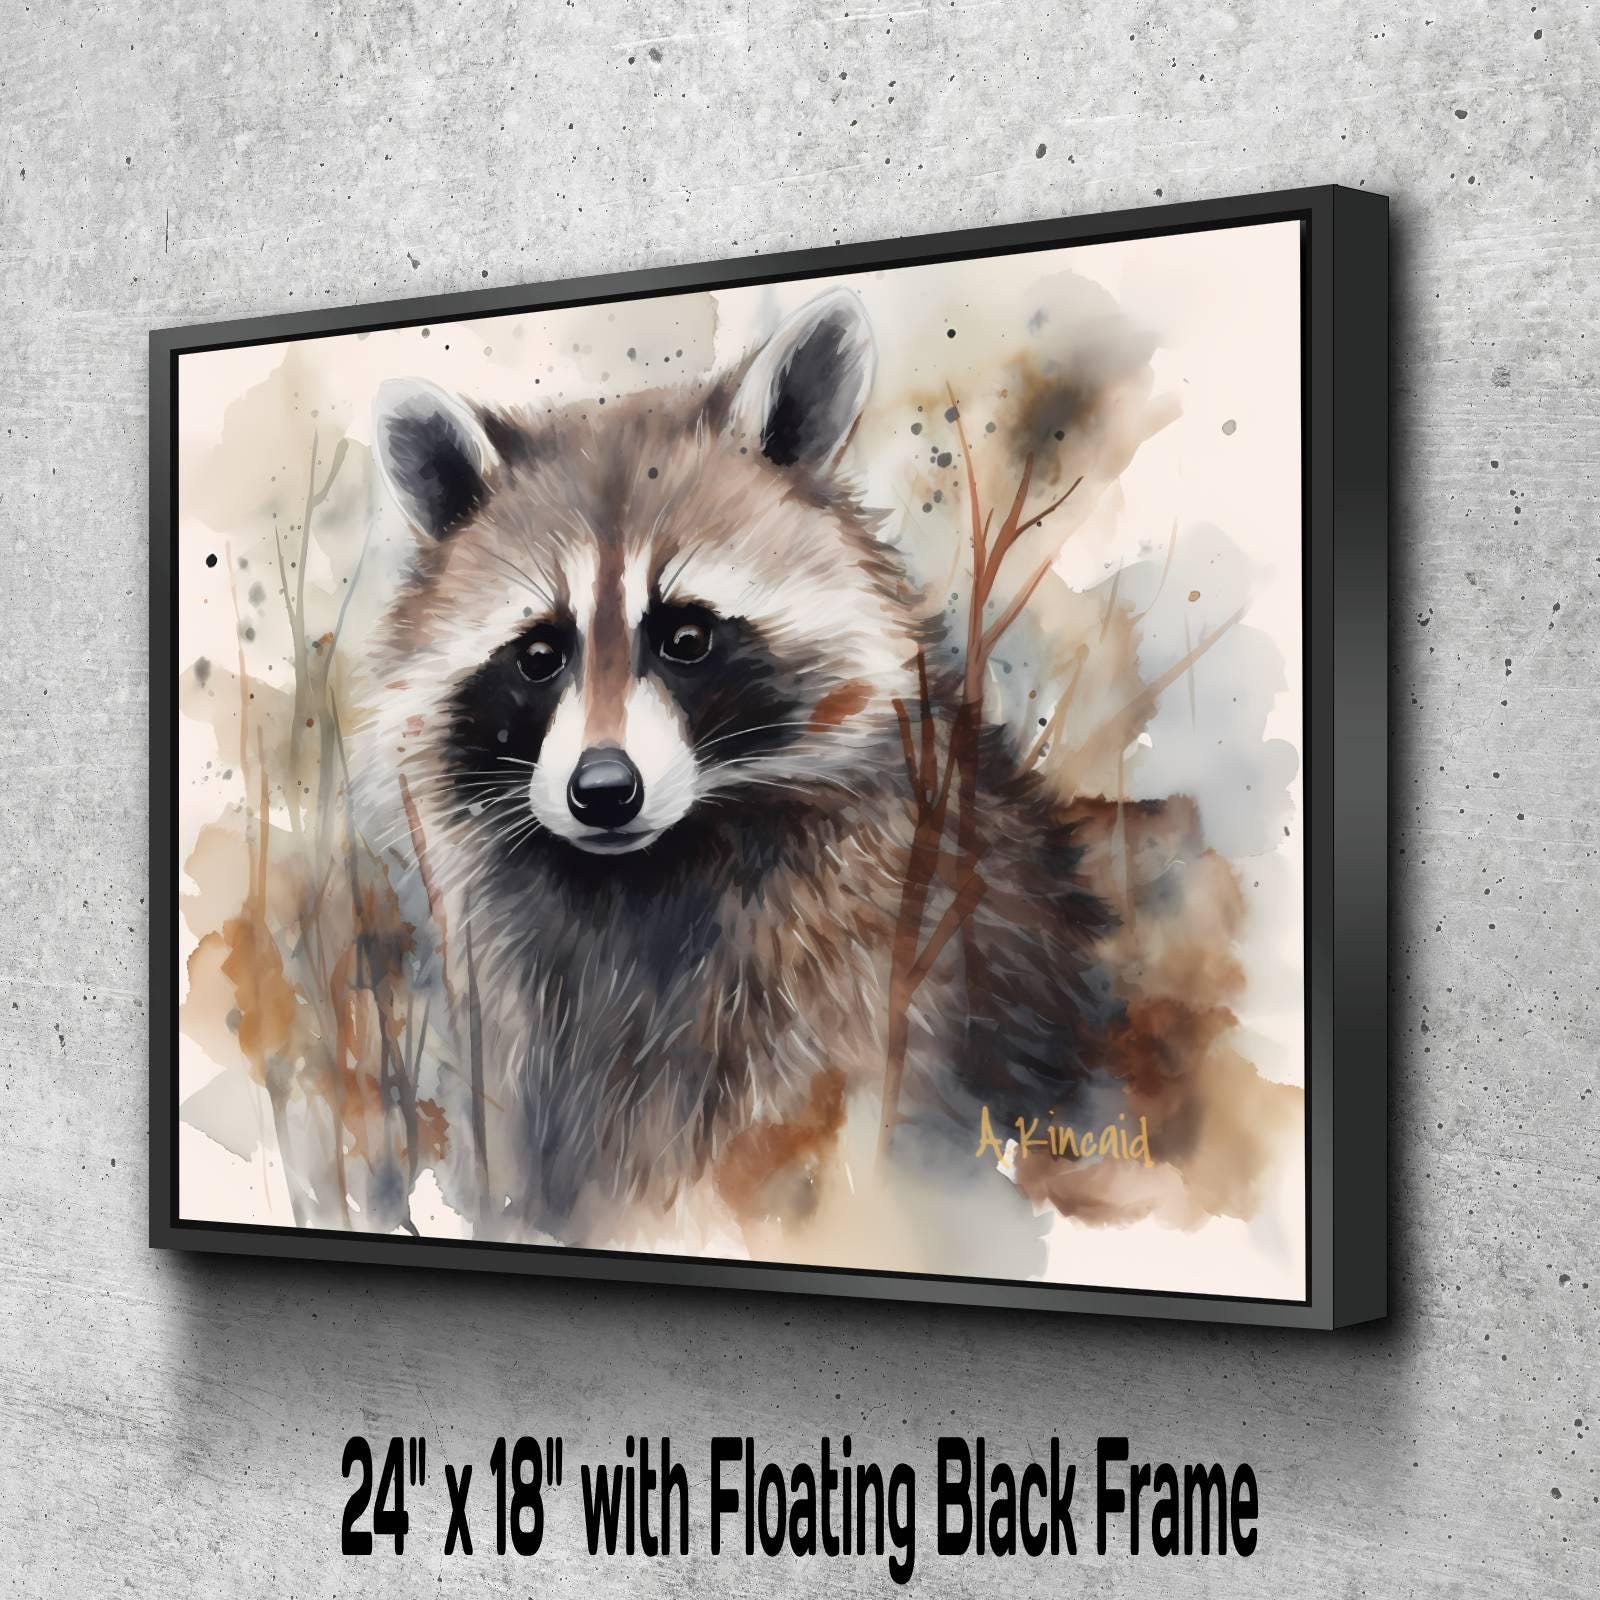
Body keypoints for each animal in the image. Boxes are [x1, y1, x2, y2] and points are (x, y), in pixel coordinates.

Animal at [358, 288, 1112, 1244]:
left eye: (687, 637)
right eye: (537, 656)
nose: (603, 792)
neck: (644, 875)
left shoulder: (877, 959)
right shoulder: (525, 1020)